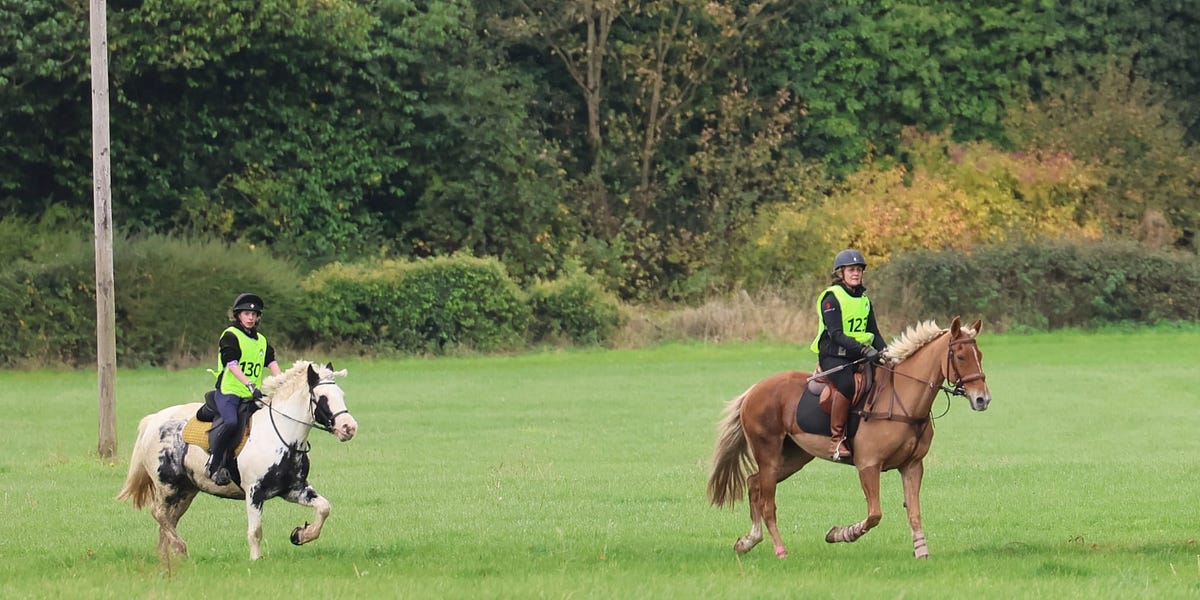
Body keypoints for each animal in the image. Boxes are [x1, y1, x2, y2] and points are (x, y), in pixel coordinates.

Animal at [117, 360, 359, 561]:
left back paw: (168, 557)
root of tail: (153, 420)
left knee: (168, 519)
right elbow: (255, 531)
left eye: (341, 394)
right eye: (323, 398)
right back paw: (182, 549)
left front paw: (301, 534)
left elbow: (324, 508)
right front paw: (256, 560)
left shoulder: (294, 489)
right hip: (167, 486)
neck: (281, 435)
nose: (349, 427)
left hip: (186, 491)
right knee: (158, 513)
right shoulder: (254, 492)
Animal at [707, 316, 991, 559]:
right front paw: (839, 534)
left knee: (754, 484)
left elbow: (914, 513)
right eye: (961, 356)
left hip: (794, 457)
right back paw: (780, 550)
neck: (903, 400)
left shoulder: (912, 466)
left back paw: (748, 542)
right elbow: (875, 514)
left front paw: (921, 552)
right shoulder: (868, 465)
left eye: (979, 355)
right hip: (769, 453)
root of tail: (753, 390)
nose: (982, 399)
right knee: (768, 503)